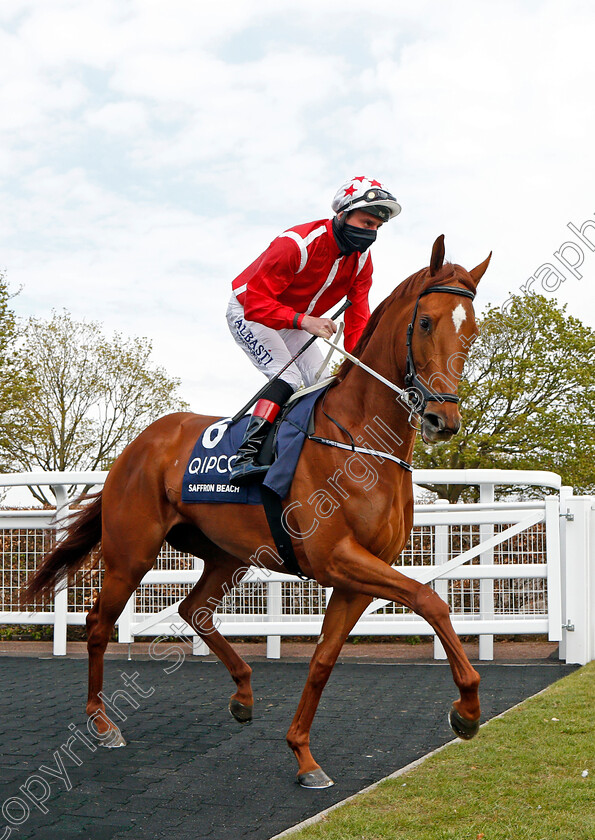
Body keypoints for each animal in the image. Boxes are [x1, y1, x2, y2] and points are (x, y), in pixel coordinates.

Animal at [23, 235, 492, 788]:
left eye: (472, 330)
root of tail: (138, 445)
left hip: (229, 554)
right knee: (98, 623)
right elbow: (429, 600)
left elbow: (324, 658)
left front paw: (303, 755)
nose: (444, 419)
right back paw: (101, 722)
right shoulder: (336, 558)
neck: (360, 440)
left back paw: (243, 694)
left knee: (194, 609)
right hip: (130, 551)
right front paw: (466, 710)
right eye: (425, 323)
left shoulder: (357, 575)